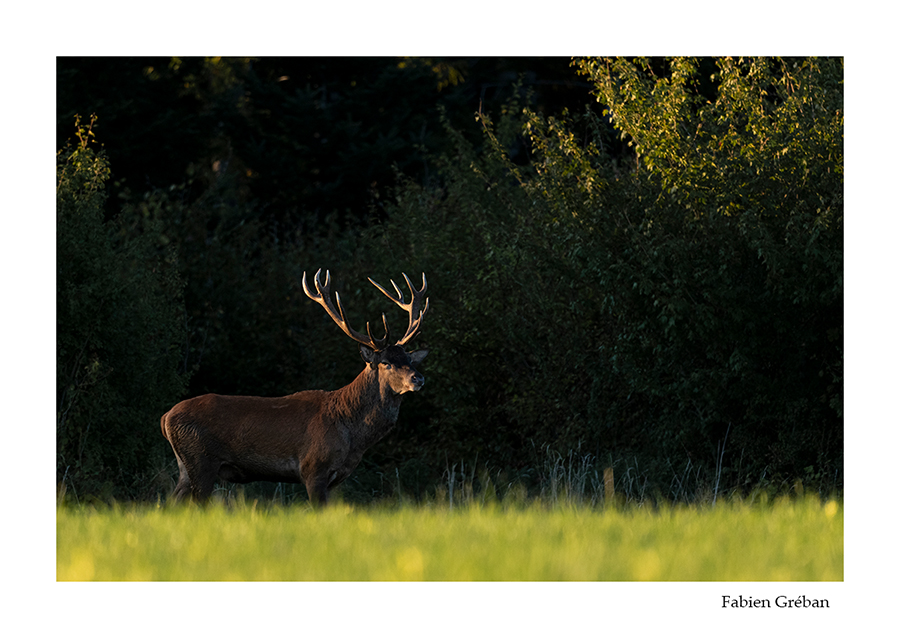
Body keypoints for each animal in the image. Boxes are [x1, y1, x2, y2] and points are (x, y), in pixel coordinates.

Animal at [160, 269, 429, 506]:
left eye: (409, 359)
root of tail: (166, 418)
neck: (352, 433)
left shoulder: (335, 479)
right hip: (201, 461)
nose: (418, 379)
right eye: (386, 363)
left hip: (185, 466)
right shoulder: (313, 468)